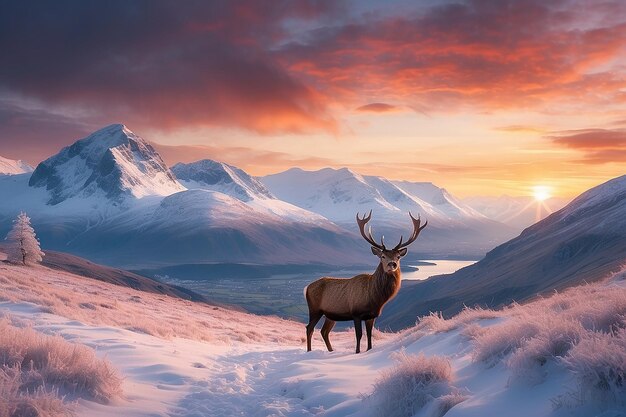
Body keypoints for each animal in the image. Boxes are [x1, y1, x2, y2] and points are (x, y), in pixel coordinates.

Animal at [302, 211, 424, 352]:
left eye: (398, 256)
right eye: (383, 256)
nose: (392, 264)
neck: (374, 298)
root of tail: (306, 287)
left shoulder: (371, 316)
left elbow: (370, 335)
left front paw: (368, 349)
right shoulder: (356, 313)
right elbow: (359, 335)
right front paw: (357, 351)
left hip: (330, 315)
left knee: (324, 331)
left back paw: (331, 350)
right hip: (314, 309)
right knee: (309, 328)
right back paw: (309, 351)